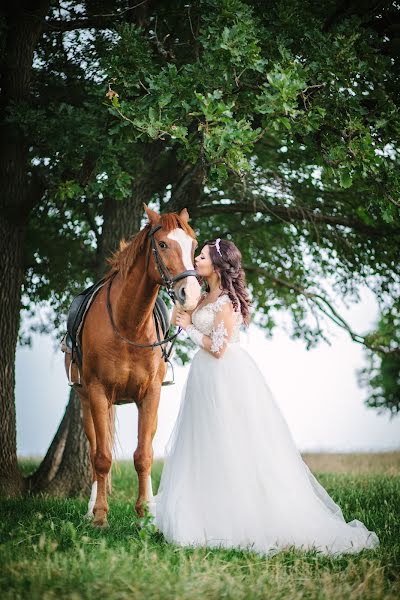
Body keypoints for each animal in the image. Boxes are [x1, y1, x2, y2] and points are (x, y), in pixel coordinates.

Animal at [63, 204, 202, 528]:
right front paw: (100, 516)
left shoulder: (150, 394)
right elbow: (101, 458)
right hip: (86, 402)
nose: (190, 294)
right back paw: (91, 508)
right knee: (94, 451)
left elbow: (144, 455)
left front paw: (145, 514)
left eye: (193, 245)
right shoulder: (98, 393)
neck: (129, 324)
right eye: (162, 244)